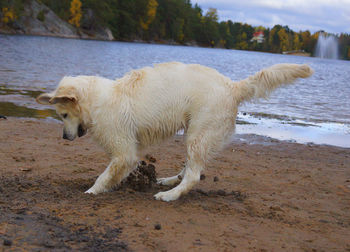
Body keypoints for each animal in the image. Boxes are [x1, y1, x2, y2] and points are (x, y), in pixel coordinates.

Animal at [36, 62, 314, 202]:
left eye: (63, 115)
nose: (64, 137)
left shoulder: (124, 152)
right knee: (191, 168)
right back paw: (168, 181)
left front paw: (92, 191)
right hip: (196, 135)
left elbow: (105, 176)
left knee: (193, 176)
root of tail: (232, 86)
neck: (97, 101)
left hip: (198, 134)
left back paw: (169, 195)